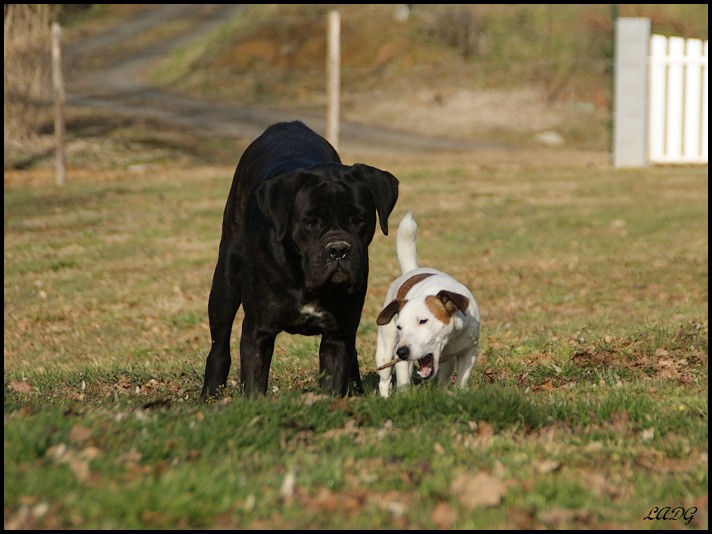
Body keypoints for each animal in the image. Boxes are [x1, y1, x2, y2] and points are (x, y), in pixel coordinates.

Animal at [202, 119, 400, 400]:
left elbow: (335, 377)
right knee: (219, 343)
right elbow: (254, 380)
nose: (338, 249)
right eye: (310, 221)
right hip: (226, 279)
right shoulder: (258, 331)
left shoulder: (339, 333)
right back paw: (209, 394)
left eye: (359, 219)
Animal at [376, 211, 482, 400]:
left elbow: (462, 380)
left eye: (423, 321)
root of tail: (412, 270)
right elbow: (403, 381)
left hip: (447, 361)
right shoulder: (400, 358)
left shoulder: (469, 351)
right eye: (399, 327)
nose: (402, 352)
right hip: (385, 349)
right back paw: (386, 398)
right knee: (385, 378)